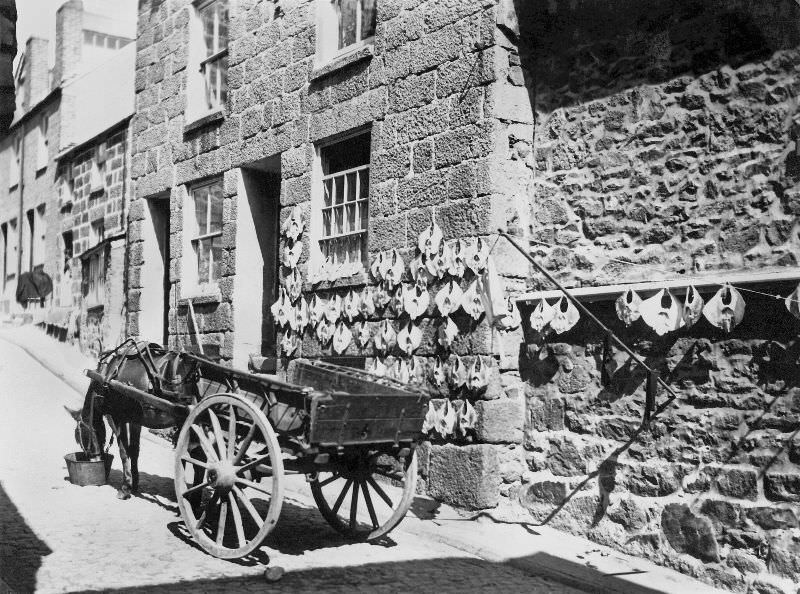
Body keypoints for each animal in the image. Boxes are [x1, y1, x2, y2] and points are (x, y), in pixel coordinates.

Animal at [74, 340, 198, 498]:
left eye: (80, 438)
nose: (92, 459)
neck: (105, 376)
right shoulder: (135, 420)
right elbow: (134, 450)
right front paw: (134, 484)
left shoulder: (117, 417)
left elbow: (123, 451)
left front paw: (125, 488)